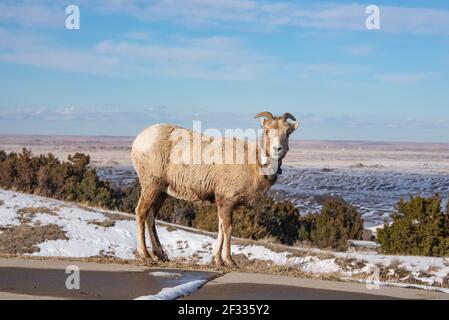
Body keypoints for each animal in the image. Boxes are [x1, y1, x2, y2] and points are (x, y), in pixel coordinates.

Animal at [130, 111, 298, 266]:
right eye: (267, 130)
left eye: (287, 132)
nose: (277, 148)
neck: (255, 164)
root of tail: (138, 140)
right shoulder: (227, 201)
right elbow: (228, 229)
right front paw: (229, 261)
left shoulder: (221, 202)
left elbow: (220, 228)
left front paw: (218, 260)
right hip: (151, 185)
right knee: (141, 212)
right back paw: (145, 255)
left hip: (161, 191)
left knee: (151, 216)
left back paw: (161, 255)